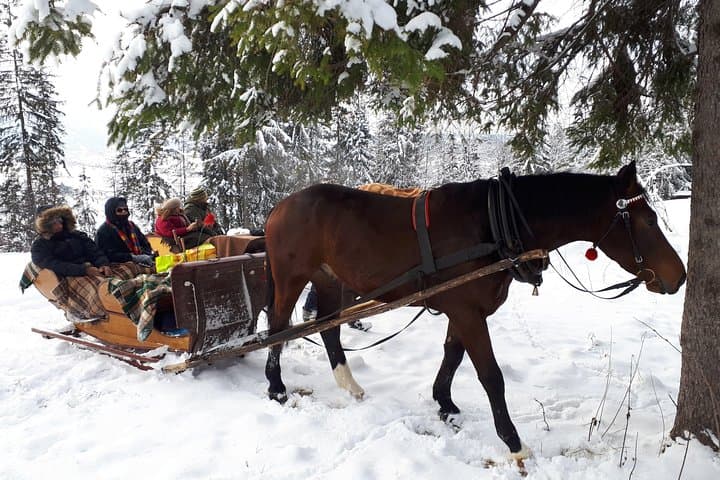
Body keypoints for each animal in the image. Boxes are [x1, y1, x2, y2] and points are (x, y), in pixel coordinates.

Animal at [263, 161, 686, 458]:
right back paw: (276, 387)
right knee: (279, 328)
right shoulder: (467, 311)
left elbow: (452, 355)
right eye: (649, 220)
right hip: (292, 278)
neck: (496, 226)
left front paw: (446, 405)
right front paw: (513, 442)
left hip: (329, 280)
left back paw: (348, 383)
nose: (679, 276)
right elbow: (490, 376)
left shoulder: (464, 310)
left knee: (327, 327)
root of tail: (280, 205)